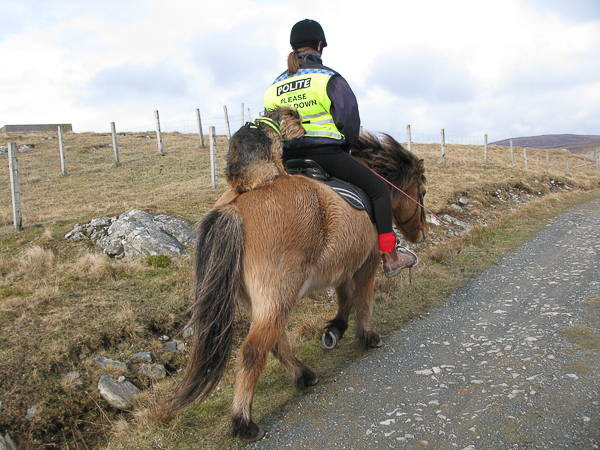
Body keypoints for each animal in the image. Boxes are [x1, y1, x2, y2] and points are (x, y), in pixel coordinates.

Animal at [165, 107, 429, 442]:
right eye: (422, 190)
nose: (421, 233)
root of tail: (236, 202)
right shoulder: (366, 263)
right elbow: (363, 301)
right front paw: (367, 337)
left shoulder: (342, 265)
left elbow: (345, 297)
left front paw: (335, 329)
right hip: (279, 292)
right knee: (253, 350)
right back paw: (243, 422)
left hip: (264, 298)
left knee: (275, 341)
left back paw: (303, 375)